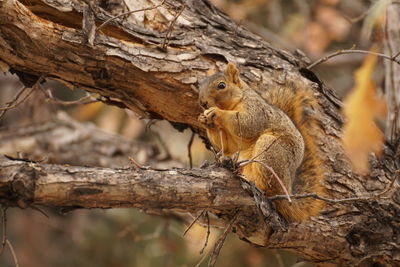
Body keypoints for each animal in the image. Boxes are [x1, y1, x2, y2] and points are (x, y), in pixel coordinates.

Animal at [198, 62, 324, 222]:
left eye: (221, 85)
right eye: (200, 85)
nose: (203, 103)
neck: (235, 103)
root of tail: (287, 192)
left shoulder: (256, 109)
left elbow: (247, 124)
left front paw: (217, 113)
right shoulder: (230, 142)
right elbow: (226, 146)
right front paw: (204, 120)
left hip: (270, 149)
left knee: (270, 190)